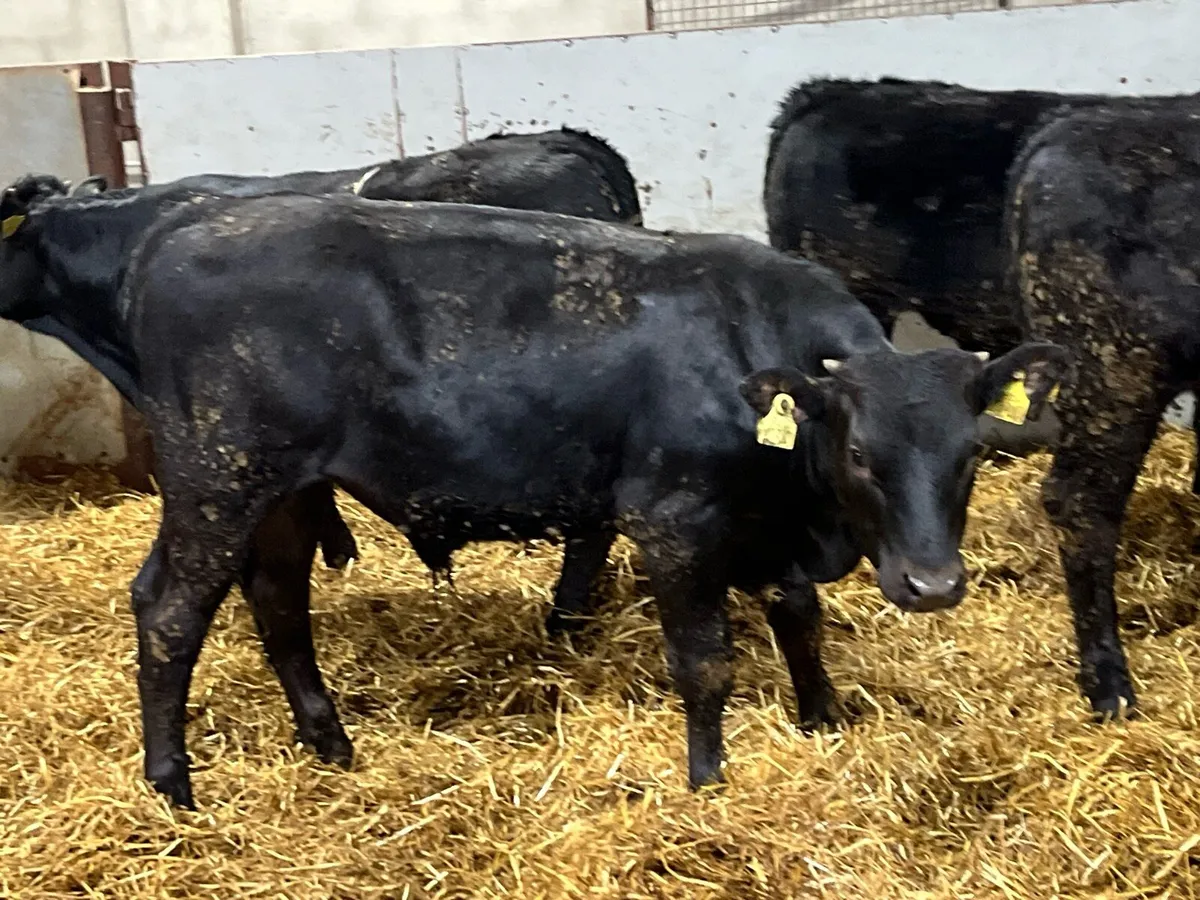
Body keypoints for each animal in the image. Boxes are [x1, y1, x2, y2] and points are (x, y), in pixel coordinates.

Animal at [0, 186, 1067, 807]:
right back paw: (172, 783)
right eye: (861, 454)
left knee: (278, 604)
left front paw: (823, 721)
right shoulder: (674, 521)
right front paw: (709, 779)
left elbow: (799, 618)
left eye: (971, 455)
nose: (931, 586)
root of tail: (184, 224)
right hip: (219, 479)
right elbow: (706, 663)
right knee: (170, 611)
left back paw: (330, 742)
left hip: (288, 493)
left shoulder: (762, 527)